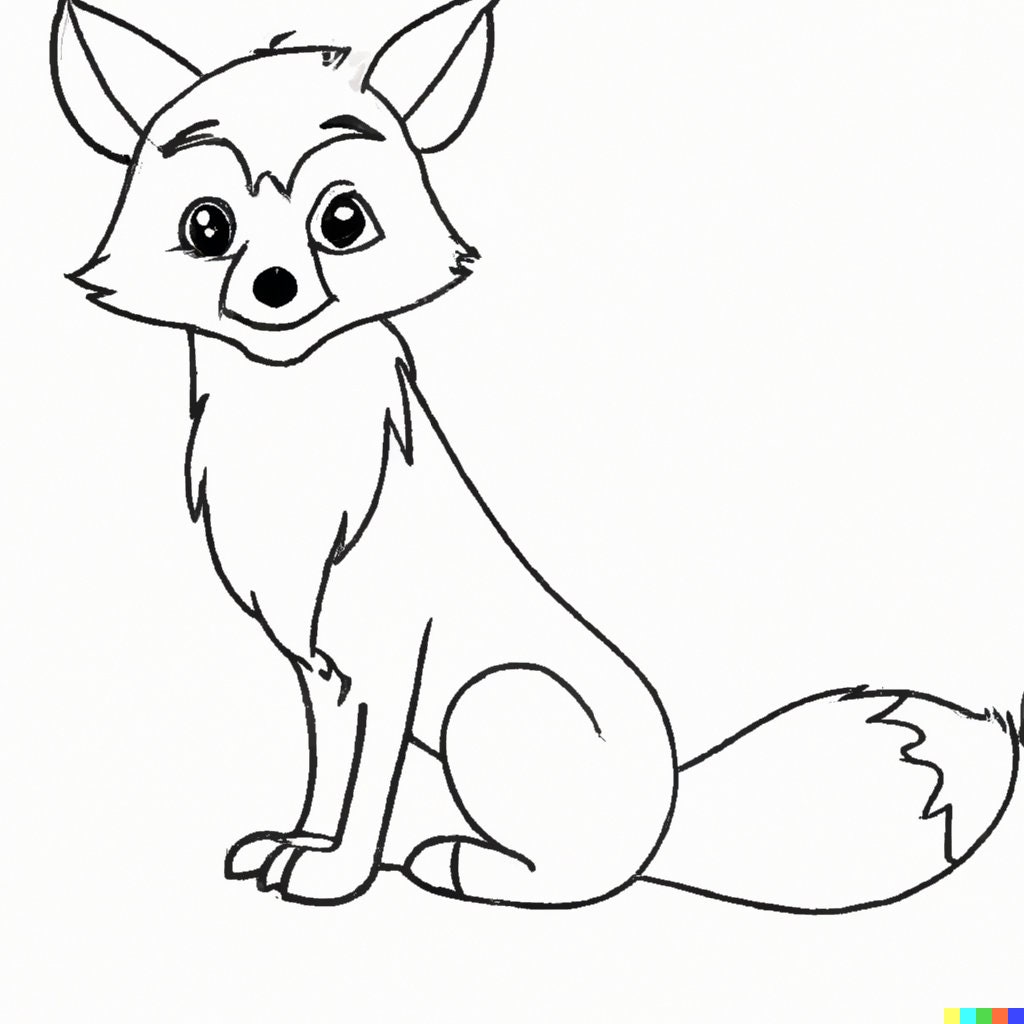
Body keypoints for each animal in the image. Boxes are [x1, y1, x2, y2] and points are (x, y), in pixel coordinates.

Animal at [51, 0, 1021, 910]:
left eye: (343, 220)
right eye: (207, 226)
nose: (275, 286)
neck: (291, 435)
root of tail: (672, 807)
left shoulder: (388, 656)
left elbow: (368, 787)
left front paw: (337, 875)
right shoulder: (320, 670)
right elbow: (328, 774)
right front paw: (296, 845)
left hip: (491, 702)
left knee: (582, 877)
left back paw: (458, 863)